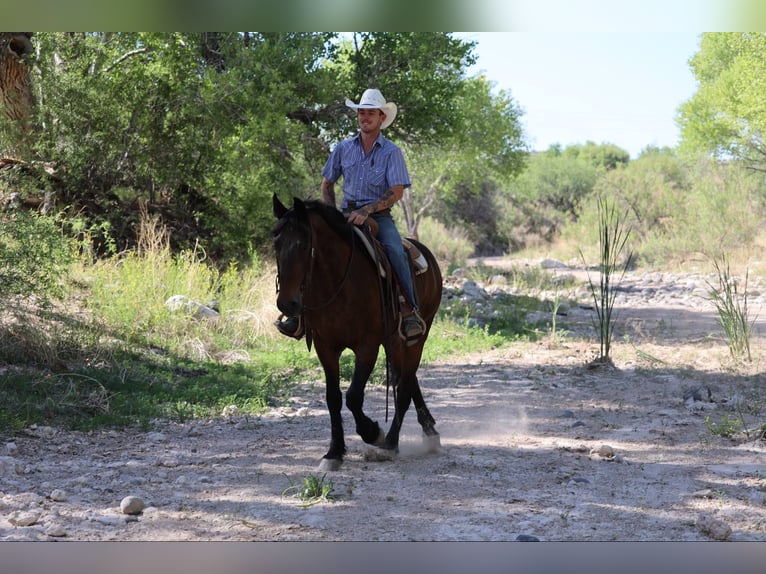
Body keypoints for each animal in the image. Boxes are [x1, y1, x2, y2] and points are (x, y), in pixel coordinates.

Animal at [272, 194, 443, 471]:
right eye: (275, 242)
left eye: (303, 244)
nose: (287, 304)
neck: (338, 283)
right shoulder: (325, 346)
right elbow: (333, 398)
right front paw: (333, 453)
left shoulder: (367, 345)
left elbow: (353, 396)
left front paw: (373, 432)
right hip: (394, 341)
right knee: (407, 379)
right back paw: (429, 430)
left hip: (416, 337)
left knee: (405, 386)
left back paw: (391, 443)